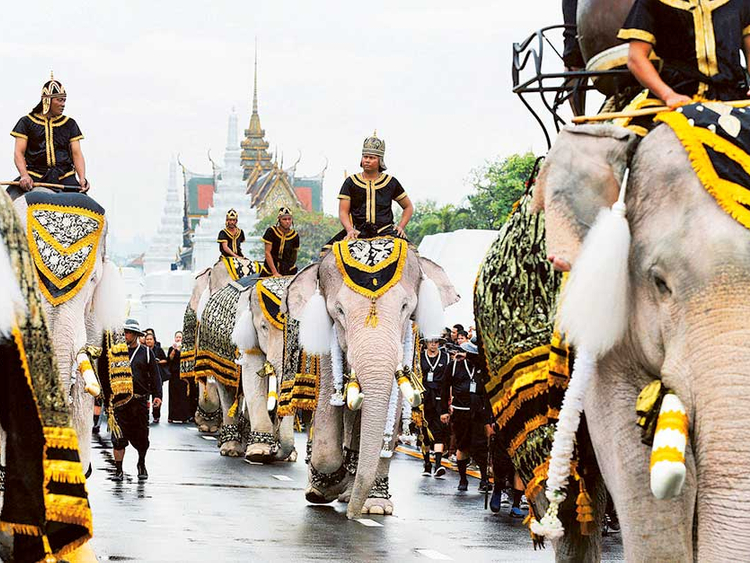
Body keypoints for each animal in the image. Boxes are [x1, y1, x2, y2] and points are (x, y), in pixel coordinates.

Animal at [284, 238, 456, 520]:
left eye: (405, 307)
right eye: (339, 311)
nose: (352, 517)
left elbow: (391, 413)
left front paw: (375, 507)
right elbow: (327, 414)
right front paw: (322, 490)